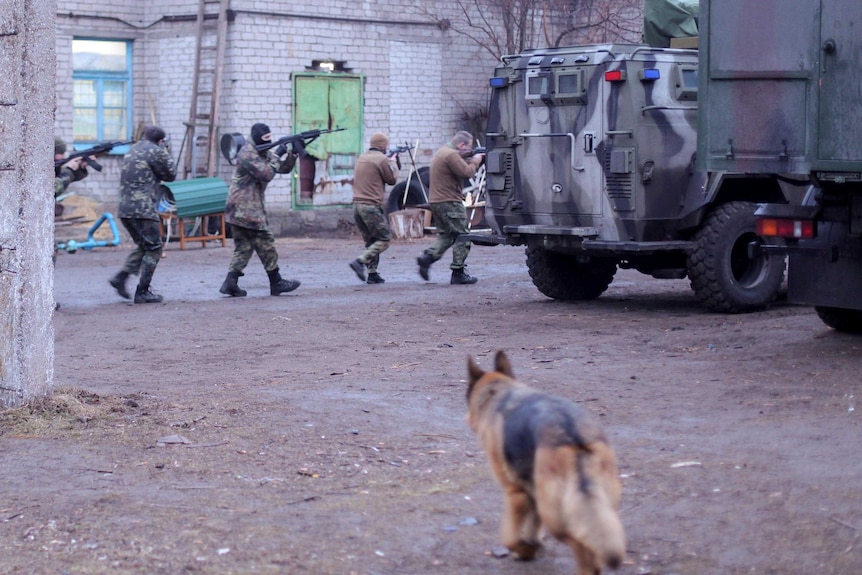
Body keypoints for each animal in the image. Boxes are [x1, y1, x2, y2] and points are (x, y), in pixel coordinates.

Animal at [466, 352, 628, 575]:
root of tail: (571, 434)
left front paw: (524, 549)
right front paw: (531, 545)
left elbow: (511, 537)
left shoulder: (515, 493)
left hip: (554, 515)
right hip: (599, 504)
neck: (500, 393)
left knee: (579, 542)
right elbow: (533, 525)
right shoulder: (533, 492)